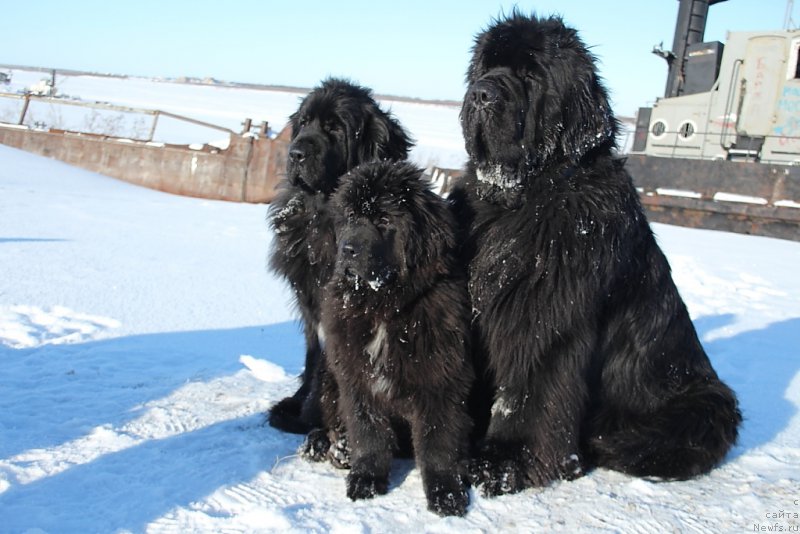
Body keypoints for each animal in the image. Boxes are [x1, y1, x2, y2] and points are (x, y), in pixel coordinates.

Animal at [268, 77, 412, 436]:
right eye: (303, 123)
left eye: (335, 128)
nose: (295, 153)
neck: (323, 220)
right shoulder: (309, 304)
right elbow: (312, 357)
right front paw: (298, 403)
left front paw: (310, 419)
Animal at [318, 161, 472, 516]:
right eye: (350, 216)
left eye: (384, 220)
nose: (347, 250)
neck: (384, 310)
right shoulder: (356, 377)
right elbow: (368, 432)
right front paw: (366, 479)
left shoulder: (441, 381)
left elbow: (438, 441)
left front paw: (446, 493)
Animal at [450, 11, 744, 498]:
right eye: (483, 70)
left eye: (530, 76)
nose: (481, 93)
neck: (526, 200)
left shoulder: (545, 318)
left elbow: (528, 392)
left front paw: (504, 460)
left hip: (705, 403)